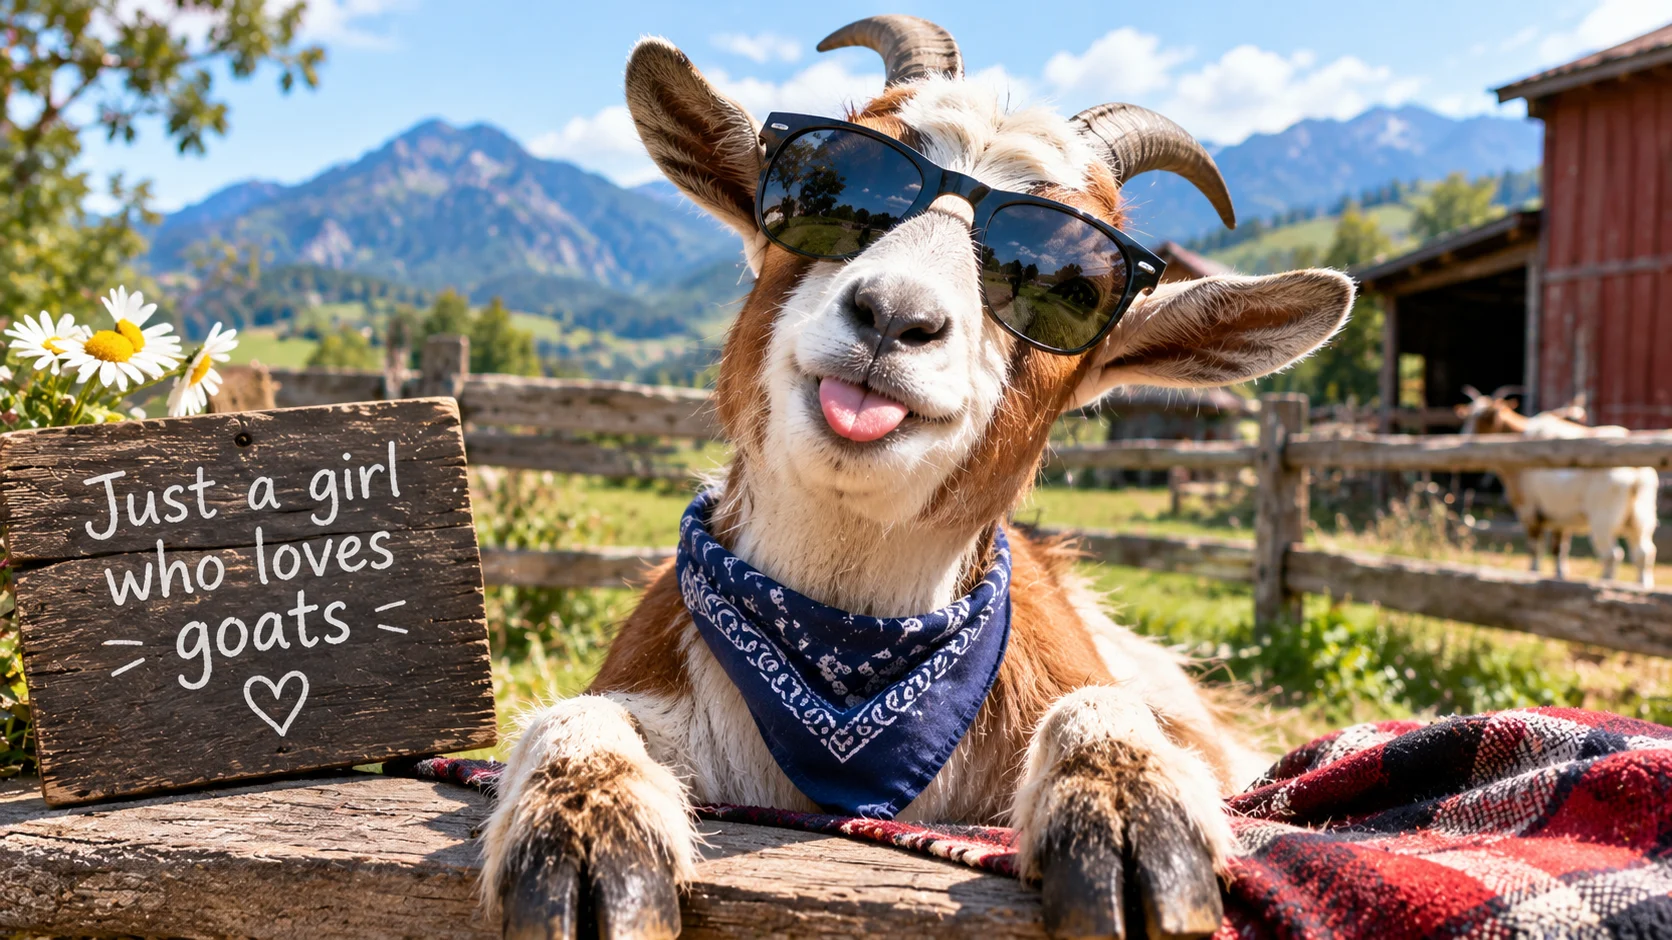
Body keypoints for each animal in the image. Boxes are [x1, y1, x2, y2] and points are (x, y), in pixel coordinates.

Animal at [483, 16, 1353, 940]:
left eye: (1076, 279)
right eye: (836, 182)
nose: (896, 313)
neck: (848, 645)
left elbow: (1106, 708)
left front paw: (1131, 808)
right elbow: (577, 713)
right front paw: (582, 830)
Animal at [1457, 385, 1658, 587]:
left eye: (1484, 417)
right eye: (1468, 415)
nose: (1464, 438)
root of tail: (1636, 472)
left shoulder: (1528, 510)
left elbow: (1535, 547)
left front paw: (1533, 573)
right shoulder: (1561, 515)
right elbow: (1559, 548)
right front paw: (1560, 575)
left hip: (1603, 519)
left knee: (1612, 555)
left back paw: (1605, 584)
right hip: (1640, 520)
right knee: (1644, 553)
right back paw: (1642, 586)